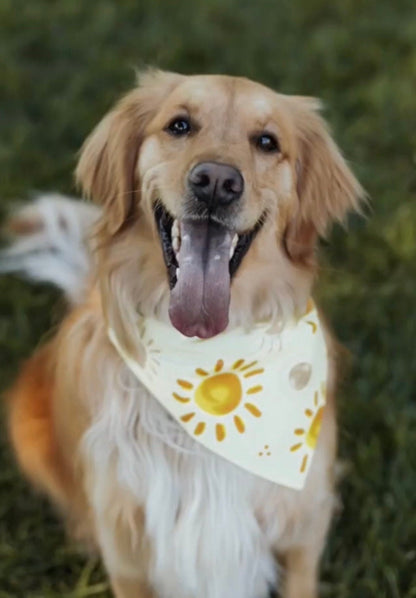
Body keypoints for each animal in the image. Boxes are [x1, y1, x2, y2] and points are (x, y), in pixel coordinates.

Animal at [0, 71, 364, 598]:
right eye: (179, 125)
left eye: (267, 142)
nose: (216, 182)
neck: (211, 365)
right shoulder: (128, 550)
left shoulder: (303, 525)